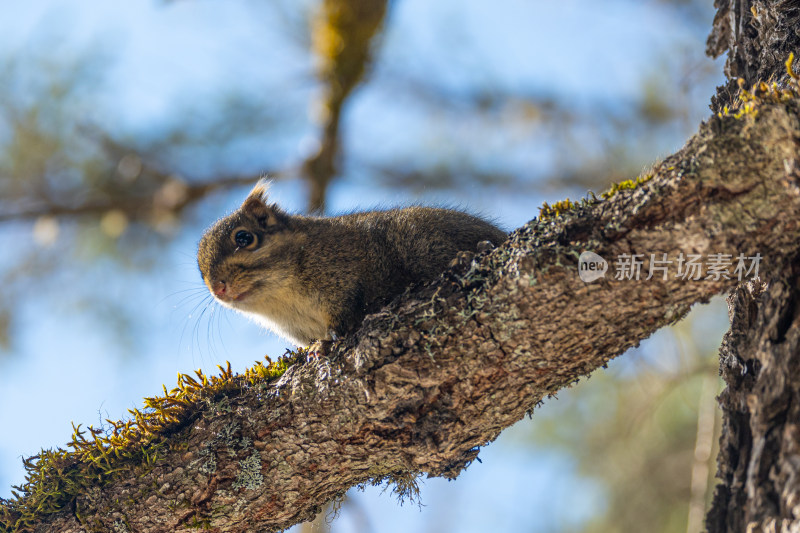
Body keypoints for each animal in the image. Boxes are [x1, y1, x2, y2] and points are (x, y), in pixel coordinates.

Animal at [196, 181, 506, 348]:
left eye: (244, 237)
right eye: (200, 273)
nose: (218, 289)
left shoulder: (341, 275)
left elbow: (344, 311)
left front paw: (325, 344)